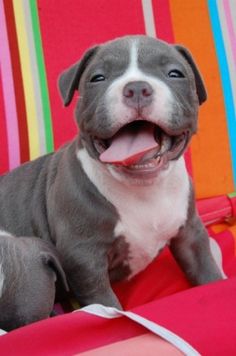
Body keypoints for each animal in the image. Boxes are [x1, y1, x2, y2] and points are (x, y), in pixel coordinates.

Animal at [0, 35, 223, 308]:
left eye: (174, 73)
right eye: (97, 78)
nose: (136, 88)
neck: (144, 188)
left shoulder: (190, 233)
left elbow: (205, 269)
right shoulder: (84, 258)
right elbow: (106, 302)